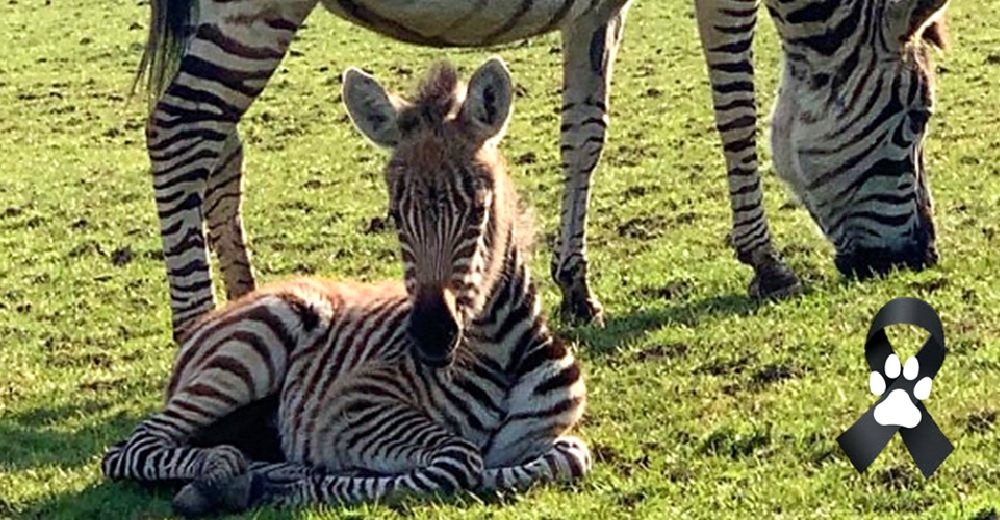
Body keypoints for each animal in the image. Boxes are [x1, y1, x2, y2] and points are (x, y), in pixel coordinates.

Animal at [99, 58, 592, 516]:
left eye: (478, 209)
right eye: (394, 216)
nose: (431, 337)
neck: (502, 353)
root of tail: (212, 318)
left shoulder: (554, 437)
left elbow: (569, 456)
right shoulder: (353, 405)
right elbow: (460, 460)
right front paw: (303, 482)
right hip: (251, 347)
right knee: (131, 447)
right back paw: (230, 474)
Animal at [139, 0, 944, 340]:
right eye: (918, 119)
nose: (921, 258)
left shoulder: (599, 9)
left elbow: (585, 132)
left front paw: (577, 287)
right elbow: (736, 108)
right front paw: (765, 261)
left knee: (221, 145)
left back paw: (244, 305)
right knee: (178, 130)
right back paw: (192, 328)